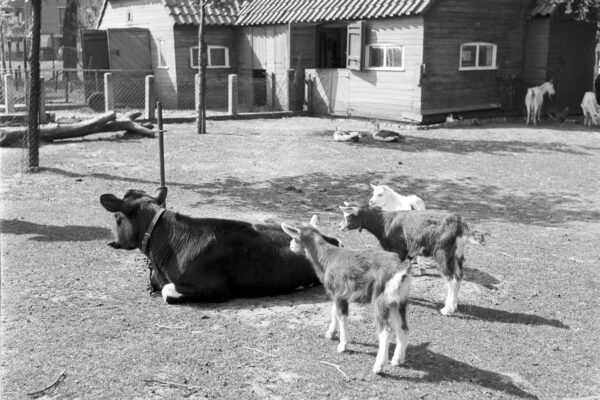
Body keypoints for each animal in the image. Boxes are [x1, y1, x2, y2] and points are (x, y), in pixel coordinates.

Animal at [282, 216, 412, 376]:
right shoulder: (338, 295)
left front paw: (342, 345)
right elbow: (333, 311)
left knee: (386, 331)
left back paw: (379, 366)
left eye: (295, 237)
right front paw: (330, 333)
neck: (327, 257)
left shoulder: (340, 293)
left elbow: (341, 316)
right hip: (399, 300)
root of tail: (400, 269)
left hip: (380, 299)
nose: (290, 246)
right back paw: (398, 360)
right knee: (403, 327)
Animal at [338, 206, 468, 316]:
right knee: (459, 276)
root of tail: (459, 224)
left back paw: (447, 309)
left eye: (348, 216)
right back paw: (454, 306)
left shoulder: (398, 251)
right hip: (456, 256)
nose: (339, 226)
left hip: (443, 254)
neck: (384, 222)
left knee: (452, 279)